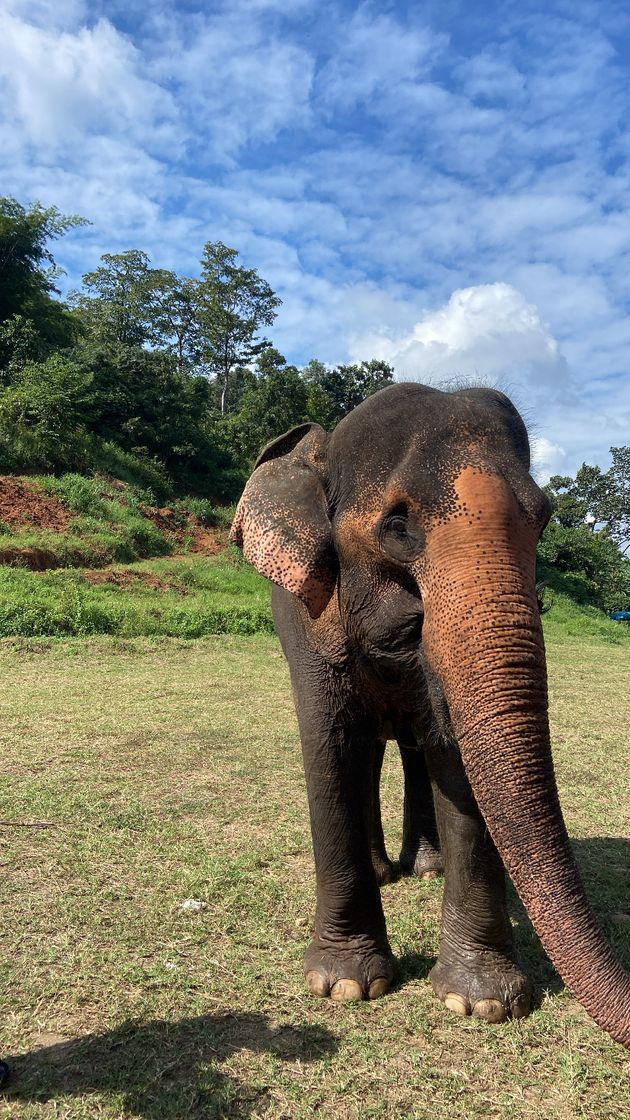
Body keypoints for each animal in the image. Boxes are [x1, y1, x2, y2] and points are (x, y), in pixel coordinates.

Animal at [230, 380, 627, 1043]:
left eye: (544, 518)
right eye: (397, 525)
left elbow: (454, 760)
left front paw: (482, 1002)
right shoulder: (306, 620)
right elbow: (331, 744)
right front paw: (345, 985)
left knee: (413, 751)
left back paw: (426, 868)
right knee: (366, 752)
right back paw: (385, 873)